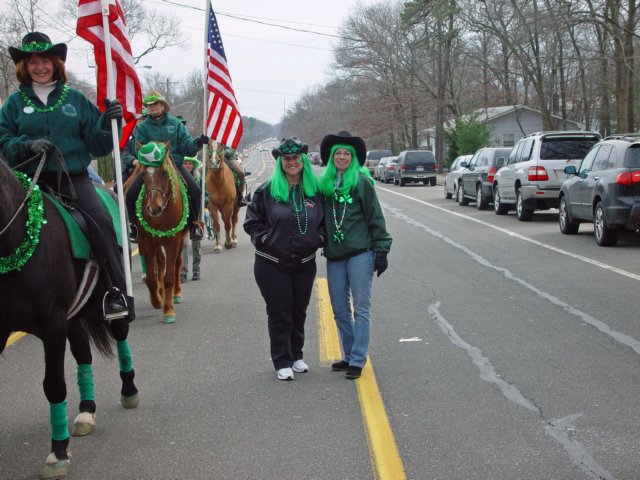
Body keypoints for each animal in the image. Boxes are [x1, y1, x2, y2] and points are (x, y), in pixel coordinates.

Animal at [0, 154, 139, 480]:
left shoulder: (52, 325)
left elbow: (53, 385)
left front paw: (58, 453)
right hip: (74, 317)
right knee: (83, 354)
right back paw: (86, 411)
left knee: (120, 338)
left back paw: (129, 391)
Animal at [132, 142, 188, 322]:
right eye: (143, 174)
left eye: (164, 172)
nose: (153, 207)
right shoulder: (146, 243)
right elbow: (151, 277)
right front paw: (156, 300)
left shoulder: (173, 241)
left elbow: (169, 276)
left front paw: (168, 310)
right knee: (160, 265)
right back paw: (161, 293)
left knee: (177, 264)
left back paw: (176, 294)